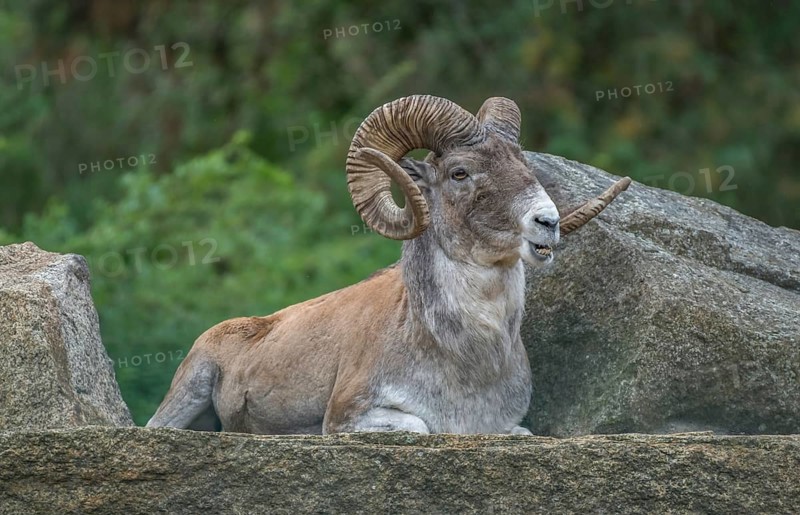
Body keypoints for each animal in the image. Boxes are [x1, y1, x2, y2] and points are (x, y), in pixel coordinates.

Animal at [146, 95, 630, 435]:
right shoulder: (351, 417)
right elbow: (422, 425)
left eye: (523, 163)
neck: (467, 358)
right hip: (186, 393)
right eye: (459, 173)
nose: (546, 223)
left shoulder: (510, 428)